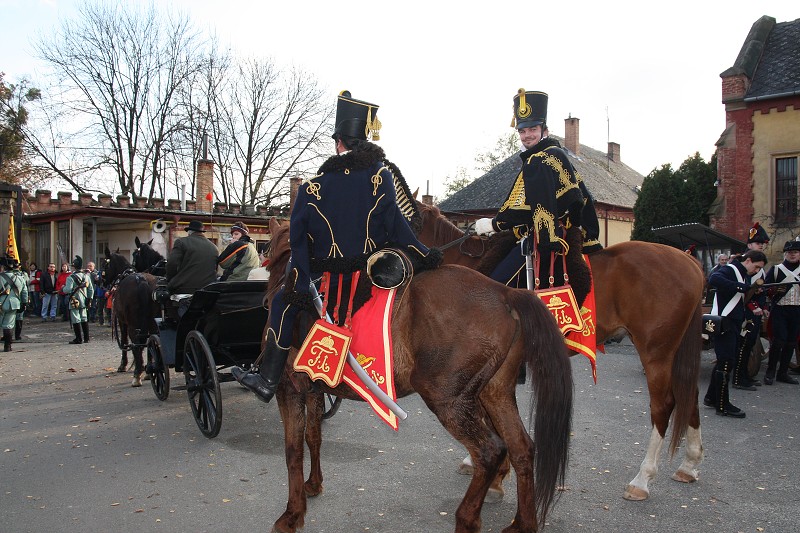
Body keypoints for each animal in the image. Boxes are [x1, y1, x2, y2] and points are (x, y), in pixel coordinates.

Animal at [102, 247, 160, 384]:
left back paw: (137, 375)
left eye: (105, 264)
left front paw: (123, 365)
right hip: (152, 321)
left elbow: (124, 341)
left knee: (136, 343)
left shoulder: (122, 322)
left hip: (133, 324)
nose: (101, 281)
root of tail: (142, 280)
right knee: (150, 341)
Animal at [266, 217, 572, 532]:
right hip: (495, 393)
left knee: (489, 451)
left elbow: (292, 449)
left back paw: (467, 518)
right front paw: (313, 486)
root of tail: (505, 293)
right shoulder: (313, 390)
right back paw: (523, 523)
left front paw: (292, 513)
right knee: (521, 447)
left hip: (448, 400)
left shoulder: (288, 388)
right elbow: (313, 437)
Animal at [416, 202, 704, 500]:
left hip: (655, 352)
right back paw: (689, 465)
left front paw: (494, 473)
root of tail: (690, 261)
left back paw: (642, 479)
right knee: (690, 396)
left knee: (664, 405)